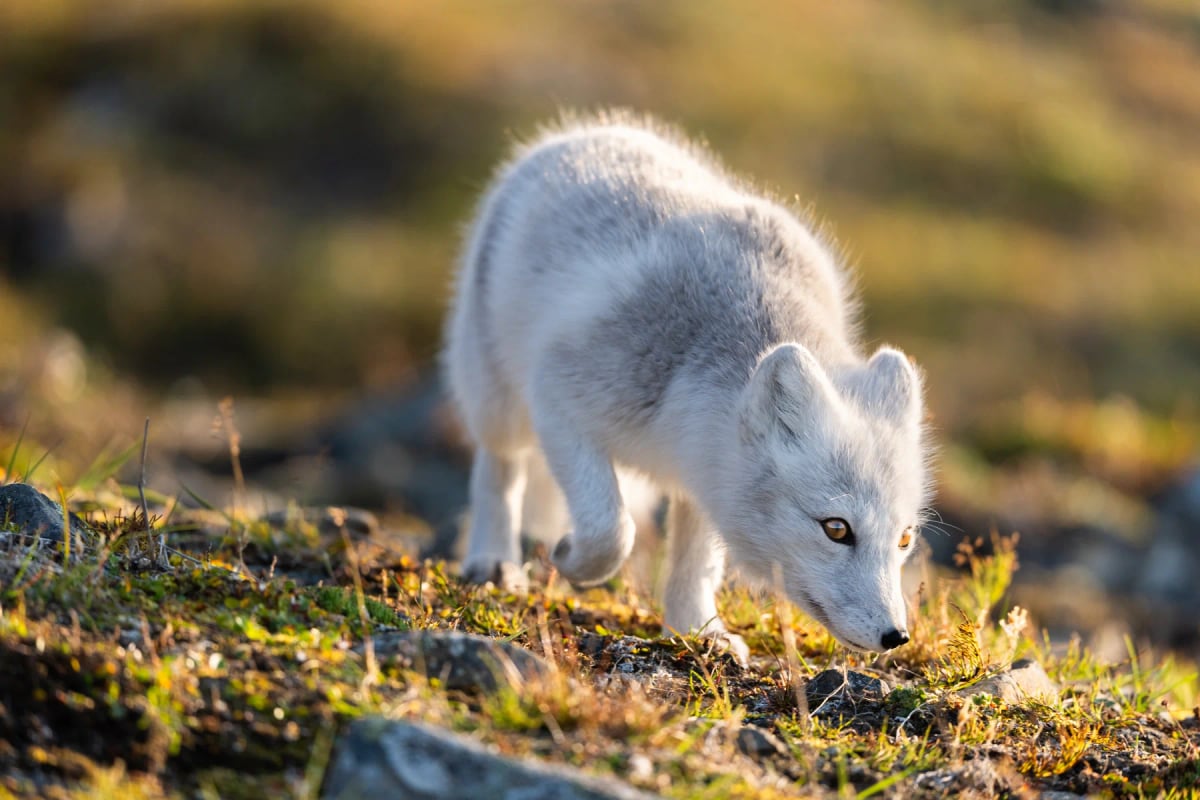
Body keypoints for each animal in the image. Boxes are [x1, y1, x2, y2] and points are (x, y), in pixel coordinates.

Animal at [442, 112, 932, 660]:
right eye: (837, 529)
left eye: (905, 539)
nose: (896, 636)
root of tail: (586, 131)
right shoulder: (558, 396)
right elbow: (612, 528)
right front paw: (572, 558)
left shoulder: (705, 472)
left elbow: (695, 562)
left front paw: (698, 630)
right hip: (497, 397)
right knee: (499, 469)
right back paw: (492, 560)